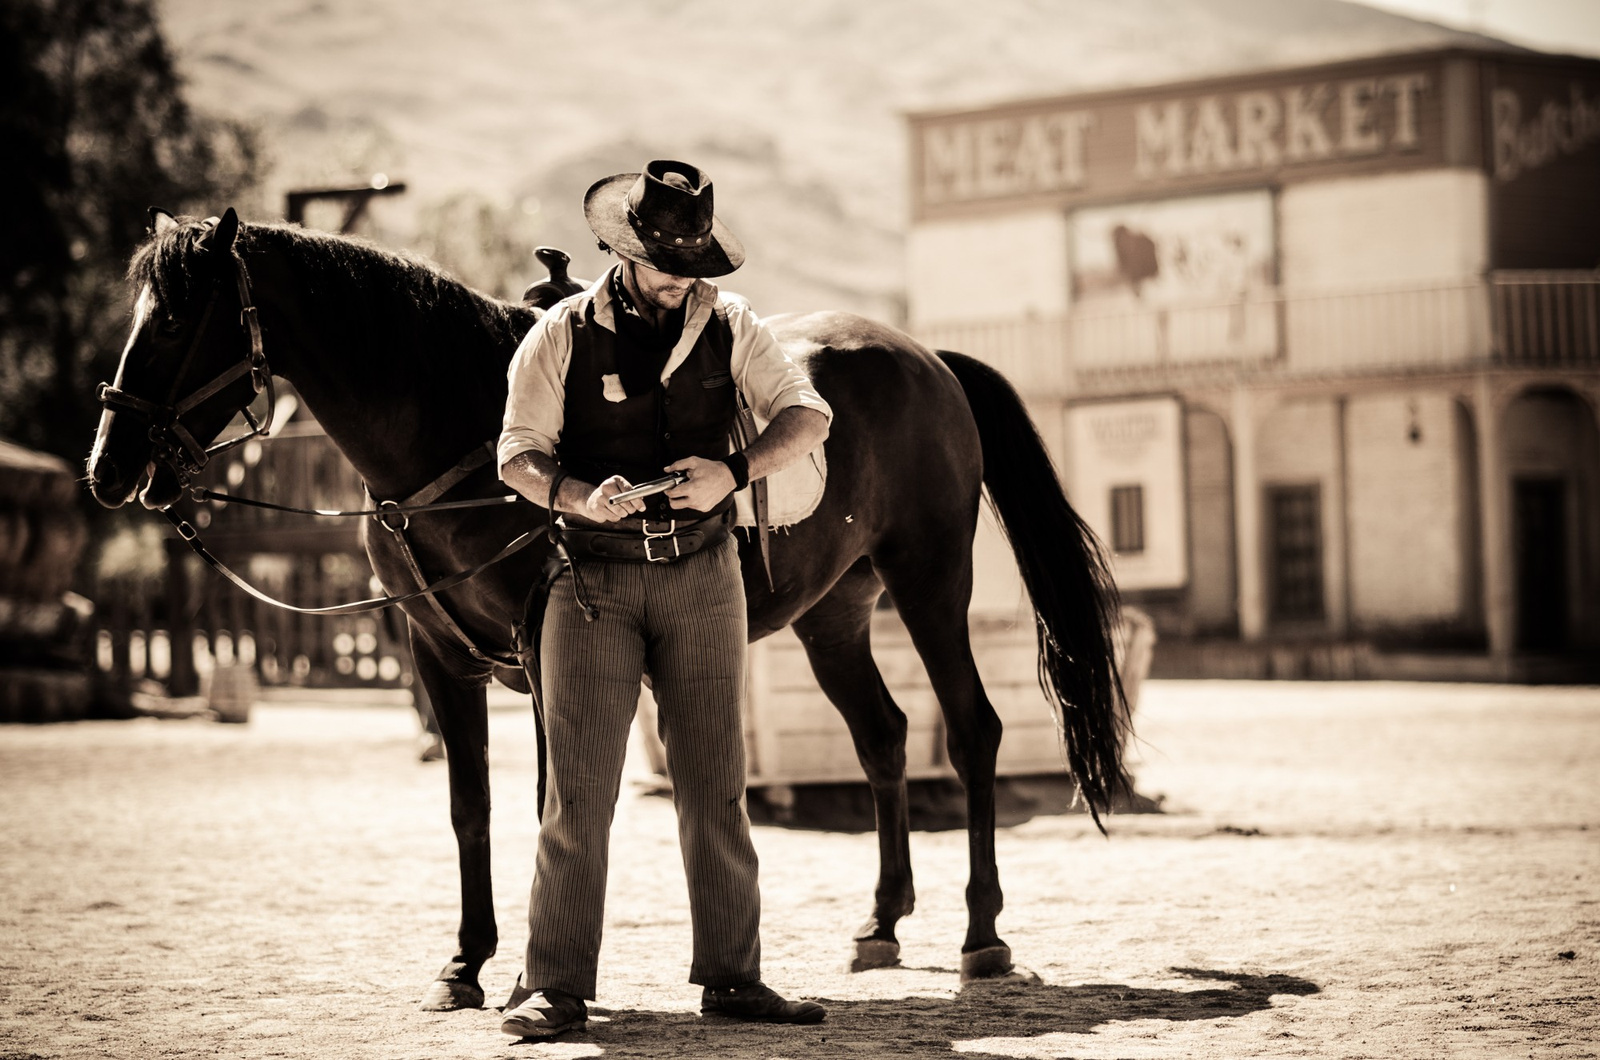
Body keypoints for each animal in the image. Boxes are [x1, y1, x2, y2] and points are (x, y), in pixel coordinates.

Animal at [84, 208, 1126, 1011]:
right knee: (883, 736)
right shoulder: (438, 655)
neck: (463, 432)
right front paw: (464, 964)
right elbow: (469, 809)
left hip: (930, 577)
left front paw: (527, 975)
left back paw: (981, 934)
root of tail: (926, 359)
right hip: (833, 613)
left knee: (973, 730)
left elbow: (553, 797)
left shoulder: (544, 646)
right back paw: (881, 922)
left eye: (173, 321)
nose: (108, 465)